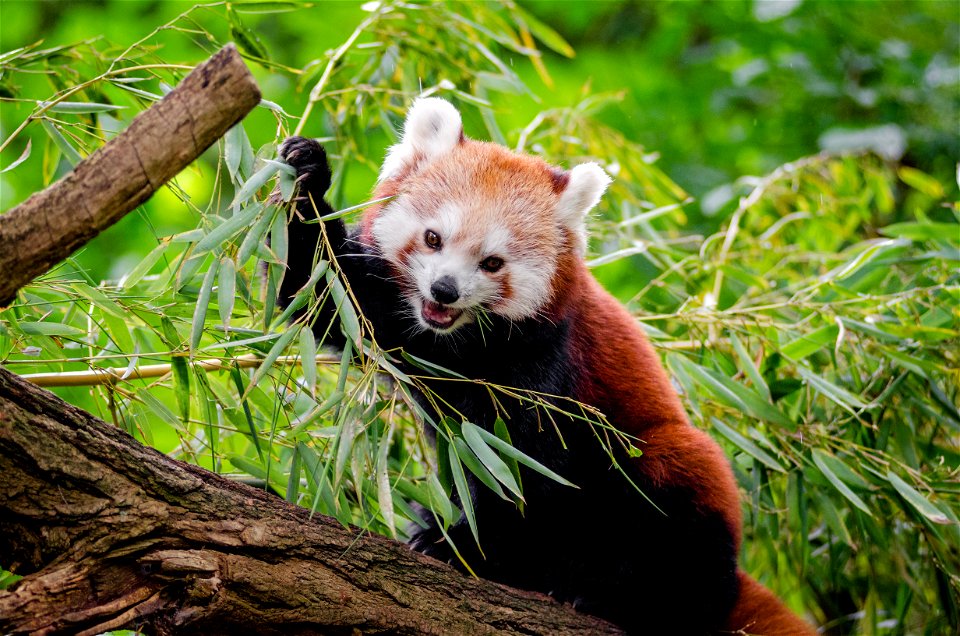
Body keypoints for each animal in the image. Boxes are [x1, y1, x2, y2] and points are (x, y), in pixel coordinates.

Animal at [280, 97, 816, 632]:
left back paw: (612, 596)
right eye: (433, 238)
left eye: (492, 263)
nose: (444, 290)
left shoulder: (546, 366)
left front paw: (470, 549)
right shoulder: (386, 309)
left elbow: (525, 469)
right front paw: (307, 171)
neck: (455, 345)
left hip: (667, 475)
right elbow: (317, 295)